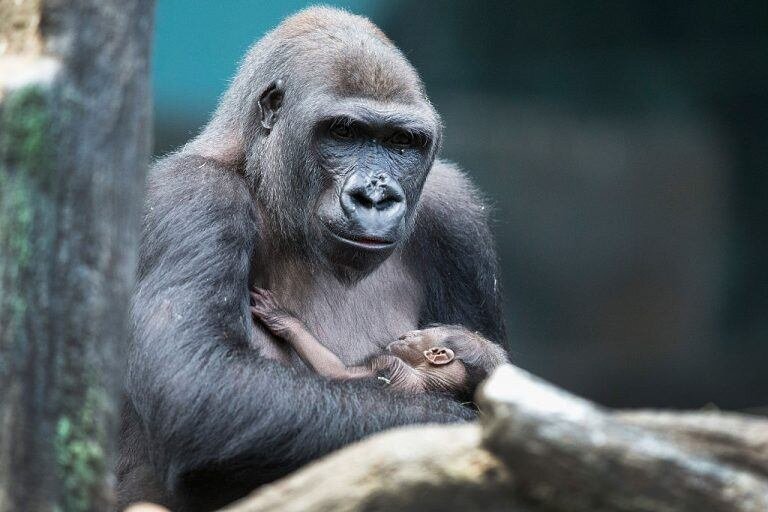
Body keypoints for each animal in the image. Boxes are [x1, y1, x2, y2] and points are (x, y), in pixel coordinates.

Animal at [119, 8, 507, 512]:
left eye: (402, 142)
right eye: (343, 132)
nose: (375, 197)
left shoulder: (458, 213)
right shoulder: (190, 194)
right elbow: (196, 386)